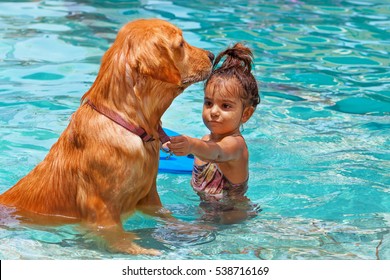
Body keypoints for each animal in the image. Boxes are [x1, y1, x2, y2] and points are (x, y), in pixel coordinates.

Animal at [0, 17, 213, 254]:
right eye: (181, 44)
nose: (213, 55)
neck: (129, 123)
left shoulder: (150, 196)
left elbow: (165, 214)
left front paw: (186, 228)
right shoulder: (101, 210)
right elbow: (118, 236)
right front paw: (143, 250)